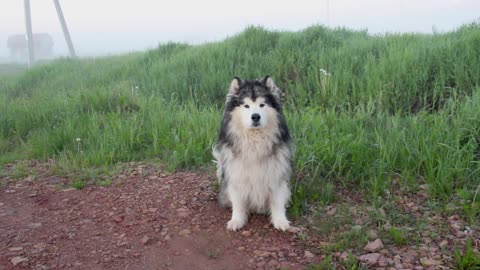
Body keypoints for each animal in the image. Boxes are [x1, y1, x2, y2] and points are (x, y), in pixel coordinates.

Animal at [214, 76, 292, 232]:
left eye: (262, 105)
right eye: (246, 106)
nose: (255, 116)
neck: (255, 140)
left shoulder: (276, 172)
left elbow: (277, 201)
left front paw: (280, 220)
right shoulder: (237, 173)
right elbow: (238, 203)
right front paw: (237, 220)